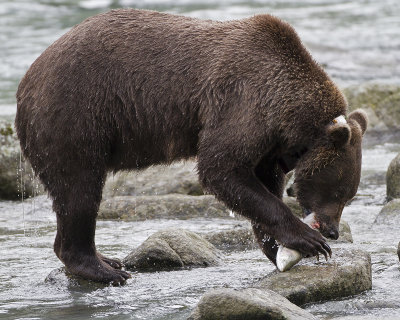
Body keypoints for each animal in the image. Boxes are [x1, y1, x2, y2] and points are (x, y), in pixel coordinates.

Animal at [15, 7, 368, 284]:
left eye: (349, 194)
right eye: (340, 192)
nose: (333, 231)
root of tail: (27, 80)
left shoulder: (268, 143)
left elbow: (262, 186)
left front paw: (276, 246)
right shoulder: (242, 104)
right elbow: (221, 169)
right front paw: (310, 241)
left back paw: (108, 259)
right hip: (75, 117)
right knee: (80, 192)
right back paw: (105, 269)